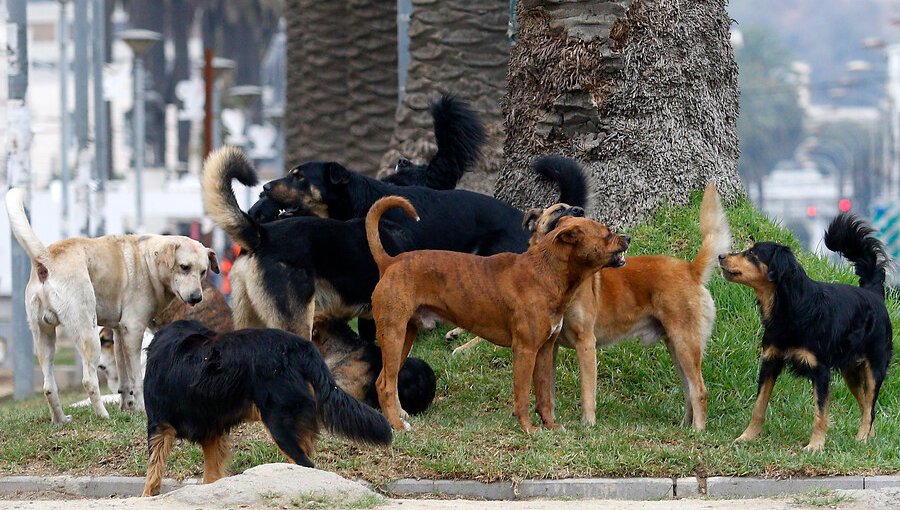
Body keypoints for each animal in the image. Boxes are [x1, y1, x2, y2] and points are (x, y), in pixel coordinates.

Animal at [6, 189, 219, 424]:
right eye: (184, 267)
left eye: (203, 271)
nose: (197, 297)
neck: (148, 261)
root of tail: (46, 257)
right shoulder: (133, 330)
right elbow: (136, 378)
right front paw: (141, 409)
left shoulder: (119, 332)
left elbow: (124, 378)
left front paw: (127, 408)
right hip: (88, 335)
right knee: (89, 380)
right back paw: (102, 415)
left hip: (44, 338)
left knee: (48, 386)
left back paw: (60, 420)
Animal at [143, 320, 390, 496]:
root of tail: (301, 347)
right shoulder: (212, 434)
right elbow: (211, 477)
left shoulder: (159, 426)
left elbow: (153, 471)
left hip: (280, 425)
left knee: (305, 464)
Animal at [364, 195, 624, 430]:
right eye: (607, 233)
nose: (628, 237)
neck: (545, 270)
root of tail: (390, 262)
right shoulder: (525, 350)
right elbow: (523, 395)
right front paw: (528, 429)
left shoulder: (545, 350)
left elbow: (543, 395)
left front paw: (550, 426)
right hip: (394, 334)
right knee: (385, 385)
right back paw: (397, 425)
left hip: (404, 337)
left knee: (387, 380)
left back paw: (400, 416)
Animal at [450, 181, 732, 428]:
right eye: (558, 210)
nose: (579, 209)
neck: (558, 275)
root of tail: (690, 269)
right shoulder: (549, 346)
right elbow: (547, 389)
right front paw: (551, 420)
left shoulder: (586, 342)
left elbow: (587, 390)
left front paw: (587, 424)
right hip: (676, 346)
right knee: (689, 390)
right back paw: (686, 425)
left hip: (685, 344)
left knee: (699, 389)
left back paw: (698, 430)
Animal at [716, 213, 892, 452]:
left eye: (752, 253)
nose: (720, 255)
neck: (791, 307)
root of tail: (873, 293)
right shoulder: (770, 362)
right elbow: (759, 406)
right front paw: (747, 437)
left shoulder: (821, 371)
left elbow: (820, 412)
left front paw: (815, 446)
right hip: (851, 372)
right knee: (866, 403)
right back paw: (867, 438)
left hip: (875, 366)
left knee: (870, 406)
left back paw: (862, 437)